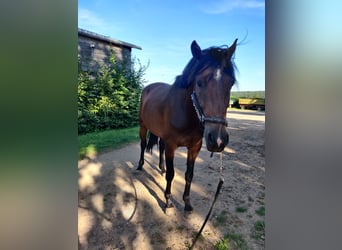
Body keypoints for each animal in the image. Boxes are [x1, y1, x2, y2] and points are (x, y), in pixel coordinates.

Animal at [137, 39, 238, 211]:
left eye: (231, 83)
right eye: (199, 82)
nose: (218, 140)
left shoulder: (194, 147)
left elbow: (189, 175)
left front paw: (187, 202)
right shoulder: (172, 145)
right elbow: (172, 174)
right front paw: (168, 200)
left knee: (160, 147)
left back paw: (161, 167)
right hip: (143, 126)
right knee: (143, 145)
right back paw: (140, 165)